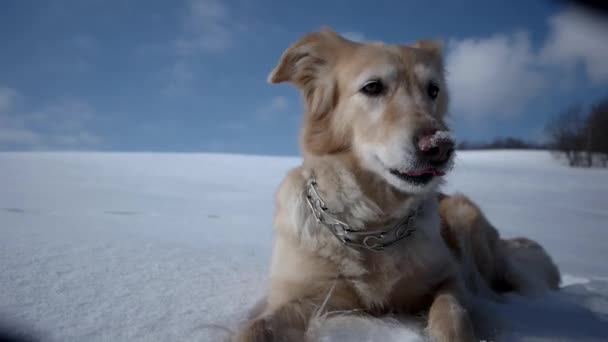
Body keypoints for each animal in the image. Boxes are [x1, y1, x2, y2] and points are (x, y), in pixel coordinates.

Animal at [233, 29, 560, 342]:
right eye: (372, 87)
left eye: (433, 90)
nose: (440, 146)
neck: (371, 227)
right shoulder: (303, 294)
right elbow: (255, 328)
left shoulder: (449, 277)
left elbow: (452, 312)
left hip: (465, 216)